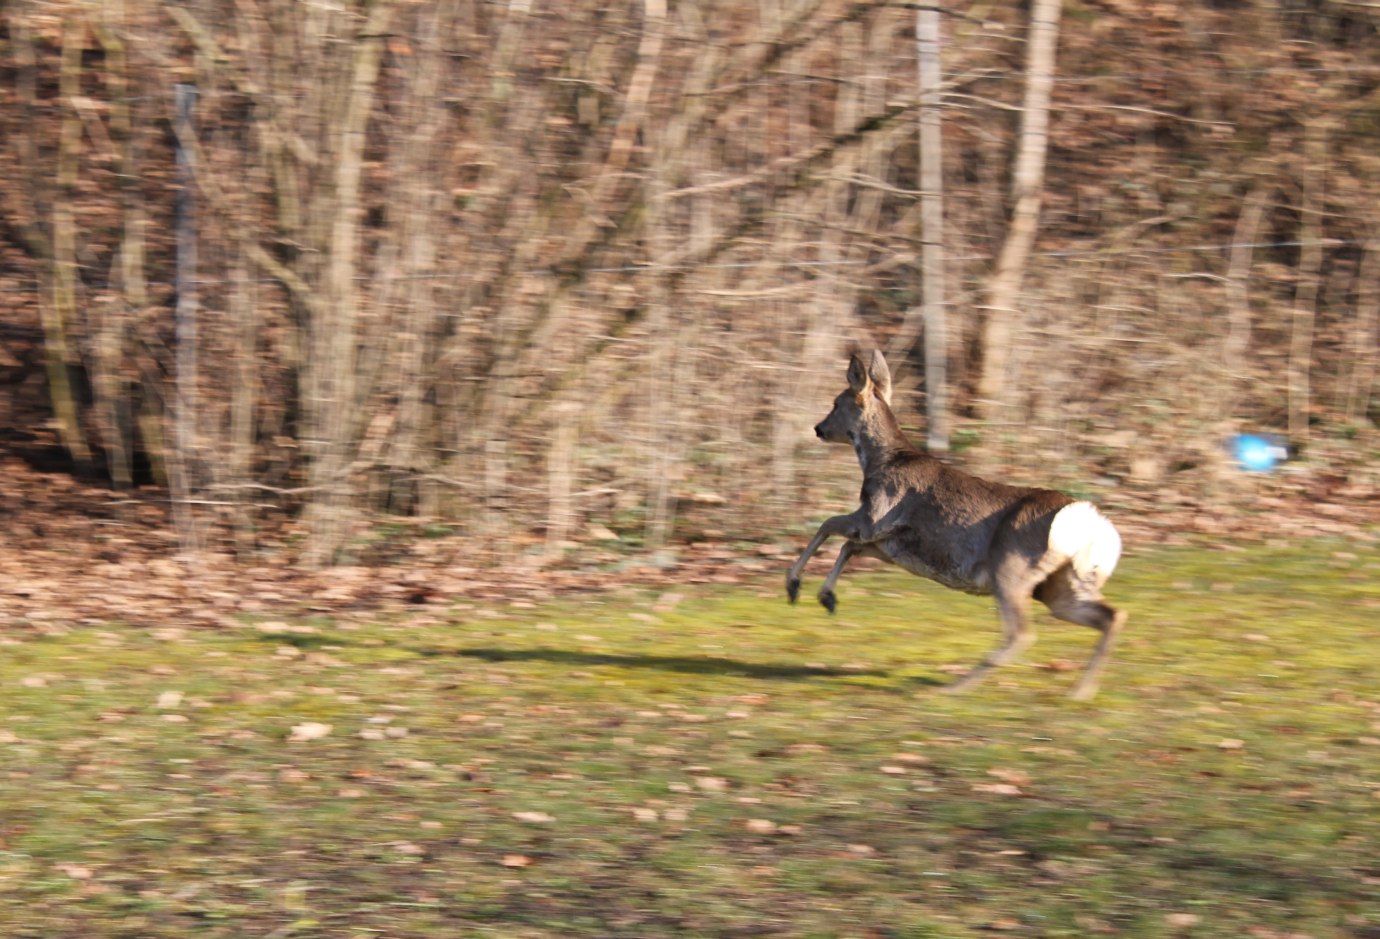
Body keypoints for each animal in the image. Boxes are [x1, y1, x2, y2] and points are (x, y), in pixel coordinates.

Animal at [789, 350, 1120, 695]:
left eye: (836, 403)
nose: (818, 428)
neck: (883, 461)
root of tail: (1089, 522)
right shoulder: (889, 545)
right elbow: (848, 546)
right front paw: (826, 597)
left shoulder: (876, 515)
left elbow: (828, 525)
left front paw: (794, 586)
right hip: (1060, 582)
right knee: (1112, 615)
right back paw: (1081, 691)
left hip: (1011, 565)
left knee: (1022, 633)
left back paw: (953, 687)